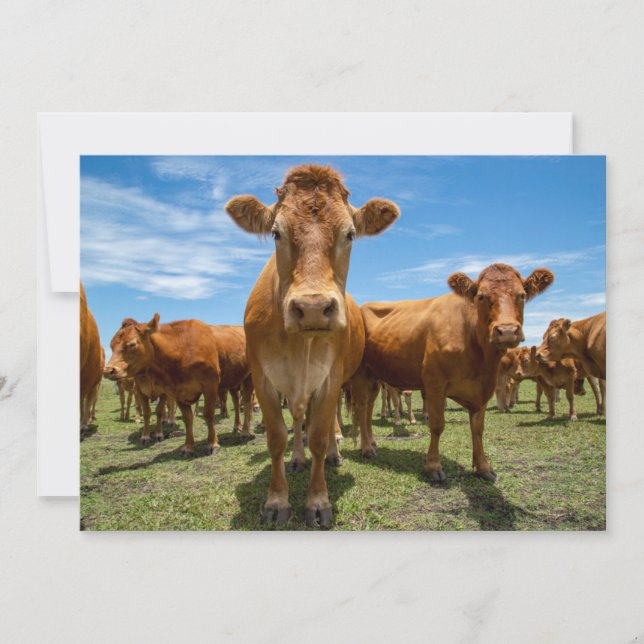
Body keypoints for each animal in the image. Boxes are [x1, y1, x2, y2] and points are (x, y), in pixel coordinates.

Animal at [104, 319, 254, 455]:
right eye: (111, 345)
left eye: (132, 344)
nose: (108, 370)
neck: (181, 349)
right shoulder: (177, 392)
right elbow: (187, 419)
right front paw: (188, 447)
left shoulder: (210, 386)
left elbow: (208, 414)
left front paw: (213, 444)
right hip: (234, 381)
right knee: (236, 401)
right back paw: (237, 426)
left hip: (249, 377)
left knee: (246, 402)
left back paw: (245, 431)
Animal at [225, 164, 399, 527]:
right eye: (276, 233)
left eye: (350, 234)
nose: (314, 308)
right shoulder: (262, 378)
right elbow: (277, 437)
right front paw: (277, 500)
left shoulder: (331, 378)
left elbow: (318, 435)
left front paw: (318, 501)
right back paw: (297, 459)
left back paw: (338, 452)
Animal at [351, 263, 554, 482]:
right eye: (481, 296)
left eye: (522, 295)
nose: (507, 331)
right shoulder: (434, 383)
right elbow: (437, 425)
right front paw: (433, 467)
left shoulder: (483, 388)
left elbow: (478, 429)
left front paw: (483, 467)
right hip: (360, 374)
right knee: (361, 408)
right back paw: (366, 449)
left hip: (374, 376)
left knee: (369, 408)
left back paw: (371, 443)